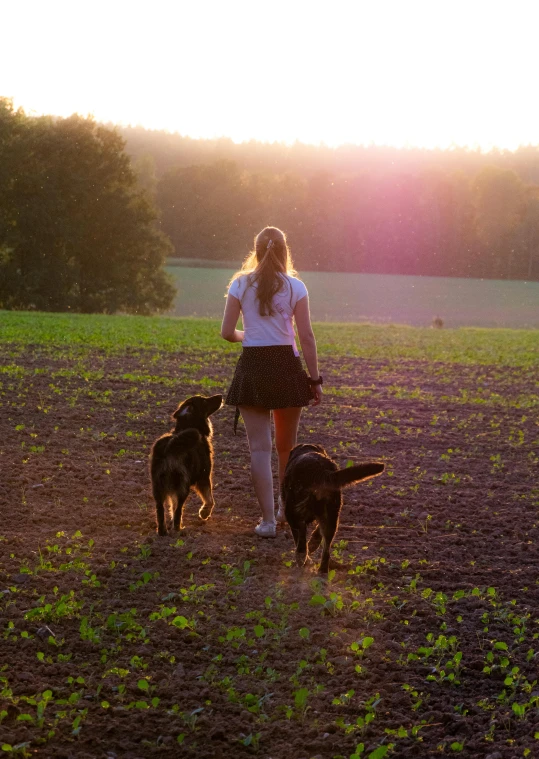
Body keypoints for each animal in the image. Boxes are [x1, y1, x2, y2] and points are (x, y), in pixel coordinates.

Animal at [149, 394, 223, 536]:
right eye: (204, 400)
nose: (221, 396)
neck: (185, 426)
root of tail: (171, 446)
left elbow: (171, 506)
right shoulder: (204, 477)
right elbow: (209, 498)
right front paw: (204, 513)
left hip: (158, 487)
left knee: (160, 511)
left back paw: (163, 531)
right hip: (183, 485)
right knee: (179, 509)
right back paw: (179, 529)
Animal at [282, 442, 384, 572]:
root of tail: (320, 472)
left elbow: (299, 536)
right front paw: (313, 544)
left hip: (292, 512)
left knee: (302, 536)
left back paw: (302, 557)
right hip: (332, 515)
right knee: (326, 549)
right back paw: (322, 569)